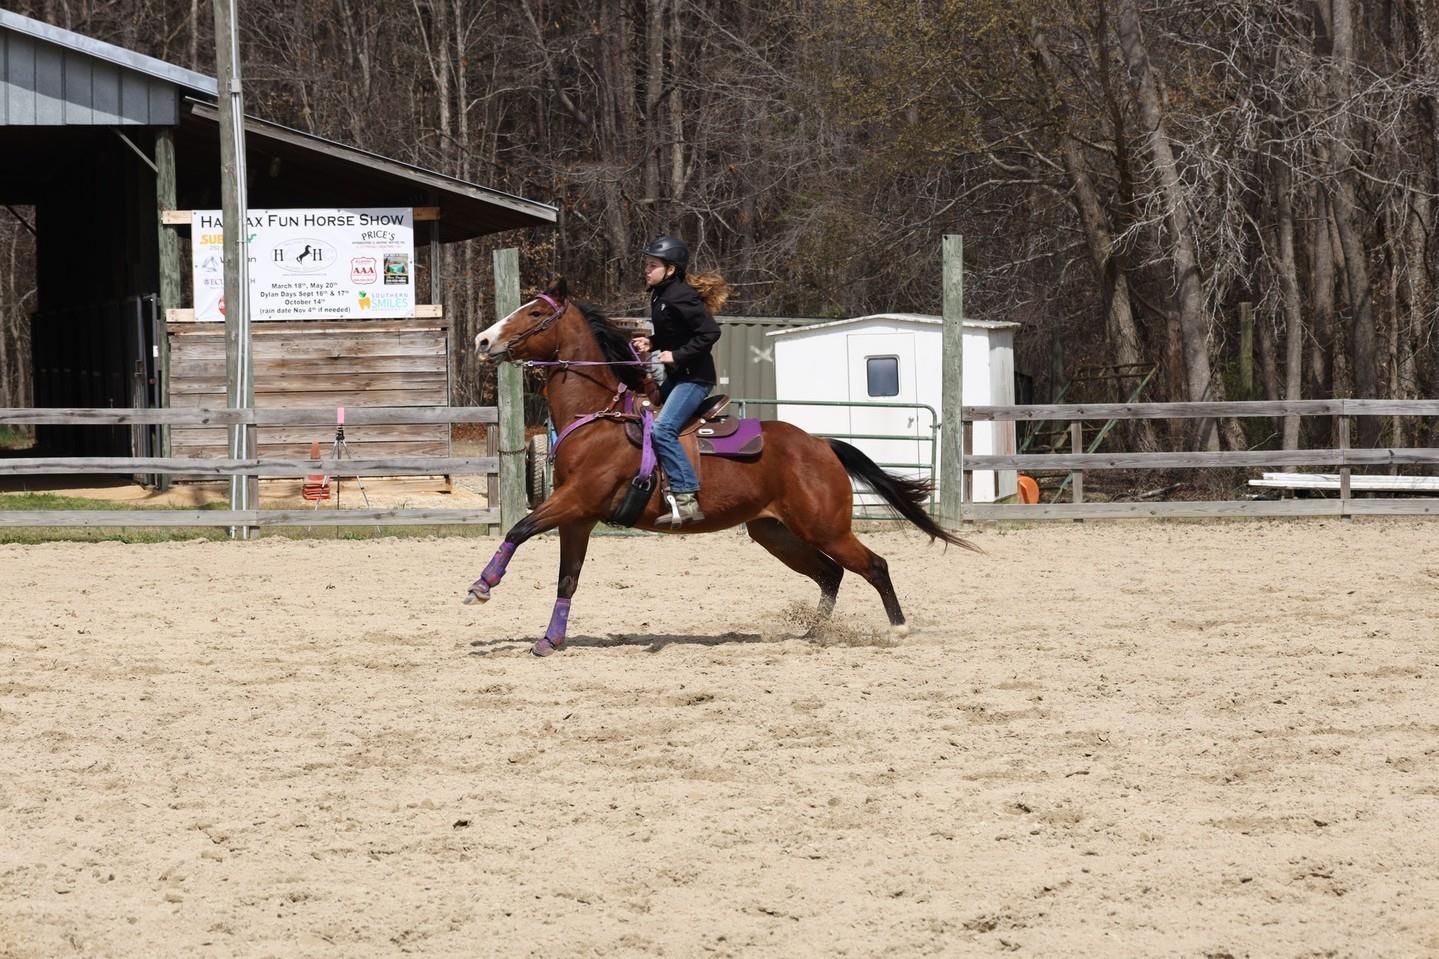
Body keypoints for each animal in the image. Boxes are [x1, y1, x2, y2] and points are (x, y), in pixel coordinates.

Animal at [466, 278, 978, 656]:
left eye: (534, 313)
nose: (483, 339)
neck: (597, 416)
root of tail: (820, 445)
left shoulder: (574, 501)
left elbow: (518, 528)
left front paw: (482, 586)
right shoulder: (579, 517)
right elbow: (567, 577)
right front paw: (550, 640)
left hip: (826, 528)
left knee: (873, 565)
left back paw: (898, 630)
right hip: (775, 532)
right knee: (830, 573)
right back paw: (813, 633)